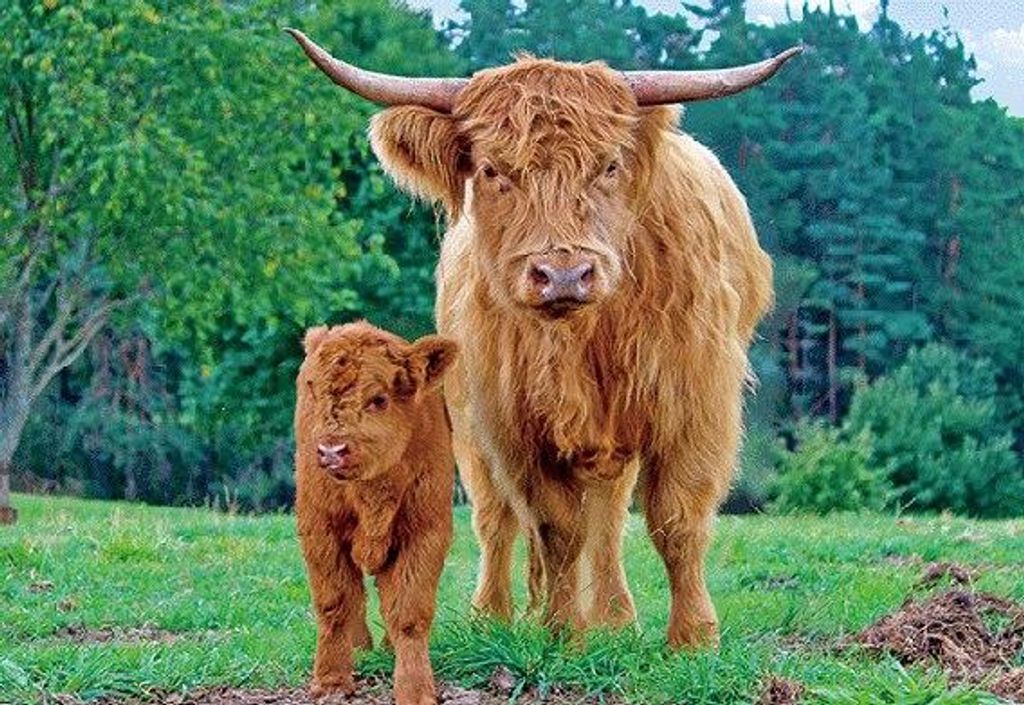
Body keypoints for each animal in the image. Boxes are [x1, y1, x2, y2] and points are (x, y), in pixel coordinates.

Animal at [287, 28, 799, 649]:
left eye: (608, 165)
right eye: (492, 170)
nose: (563, 274)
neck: (587, 335)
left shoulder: (694, 403)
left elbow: (677, 519)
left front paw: (693, 638)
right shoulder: (514, 422)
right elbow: (556, 526)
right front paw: (562, 633)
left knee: (610, 511)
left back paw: (615, 618)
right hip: (469, 420)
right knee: (498, 519)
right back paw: (494, 614)